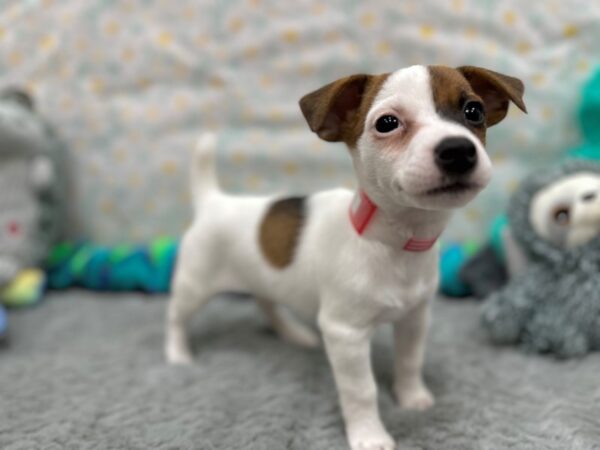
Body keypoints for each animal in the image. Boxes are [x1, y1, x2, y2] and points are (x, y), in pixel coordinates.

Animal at [165, 64, 524, 450]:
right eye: (387, 123)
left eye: (474, 111)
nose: (458, 150)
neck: (393, 242)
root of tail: (214, 201)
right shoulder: (345, 334)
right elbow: (361, 390)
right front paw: (370, 435)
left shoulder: (414, 318)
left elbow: (409, 361)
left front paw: (412, 397)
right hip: (194, 285)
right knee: (176, 317)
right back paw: (177, 355)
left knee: (266, 302)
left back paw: (293, 334)